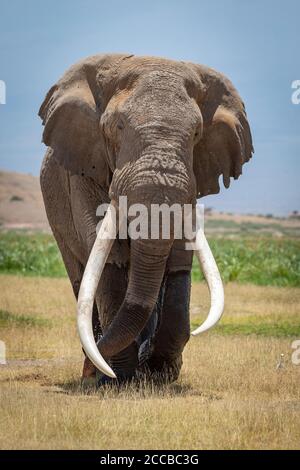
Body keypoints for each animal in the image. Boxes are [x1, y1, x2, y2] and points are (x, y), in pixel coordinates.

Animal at [38, 54, 252, 386]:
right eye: (117, 126)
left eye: (196, 134)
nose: (88, 371)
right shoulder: (83, 171)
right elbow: (109, 257)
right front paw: (117, 378)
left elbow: (178, 259)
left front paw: (159, 375)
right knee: (81, 274)